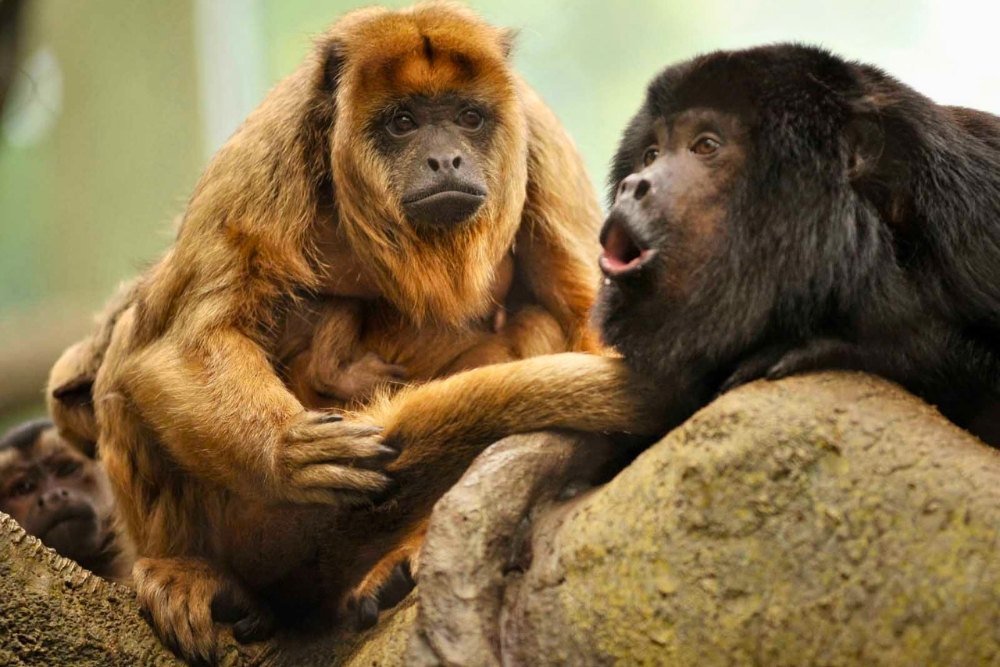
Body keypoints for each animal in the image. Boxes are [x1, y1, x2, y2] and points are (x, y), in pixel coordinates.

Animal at [72, 2, 601, 661]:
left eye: (468, 117)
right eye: (403, 122)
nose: (446, 159)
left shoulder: (539, 136)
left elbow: (583, 309)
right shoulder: (268, 146)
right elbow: (185, 341)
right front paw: (285, 453)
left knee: (539, 319)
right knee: (135, 346)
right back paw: (199, 574)